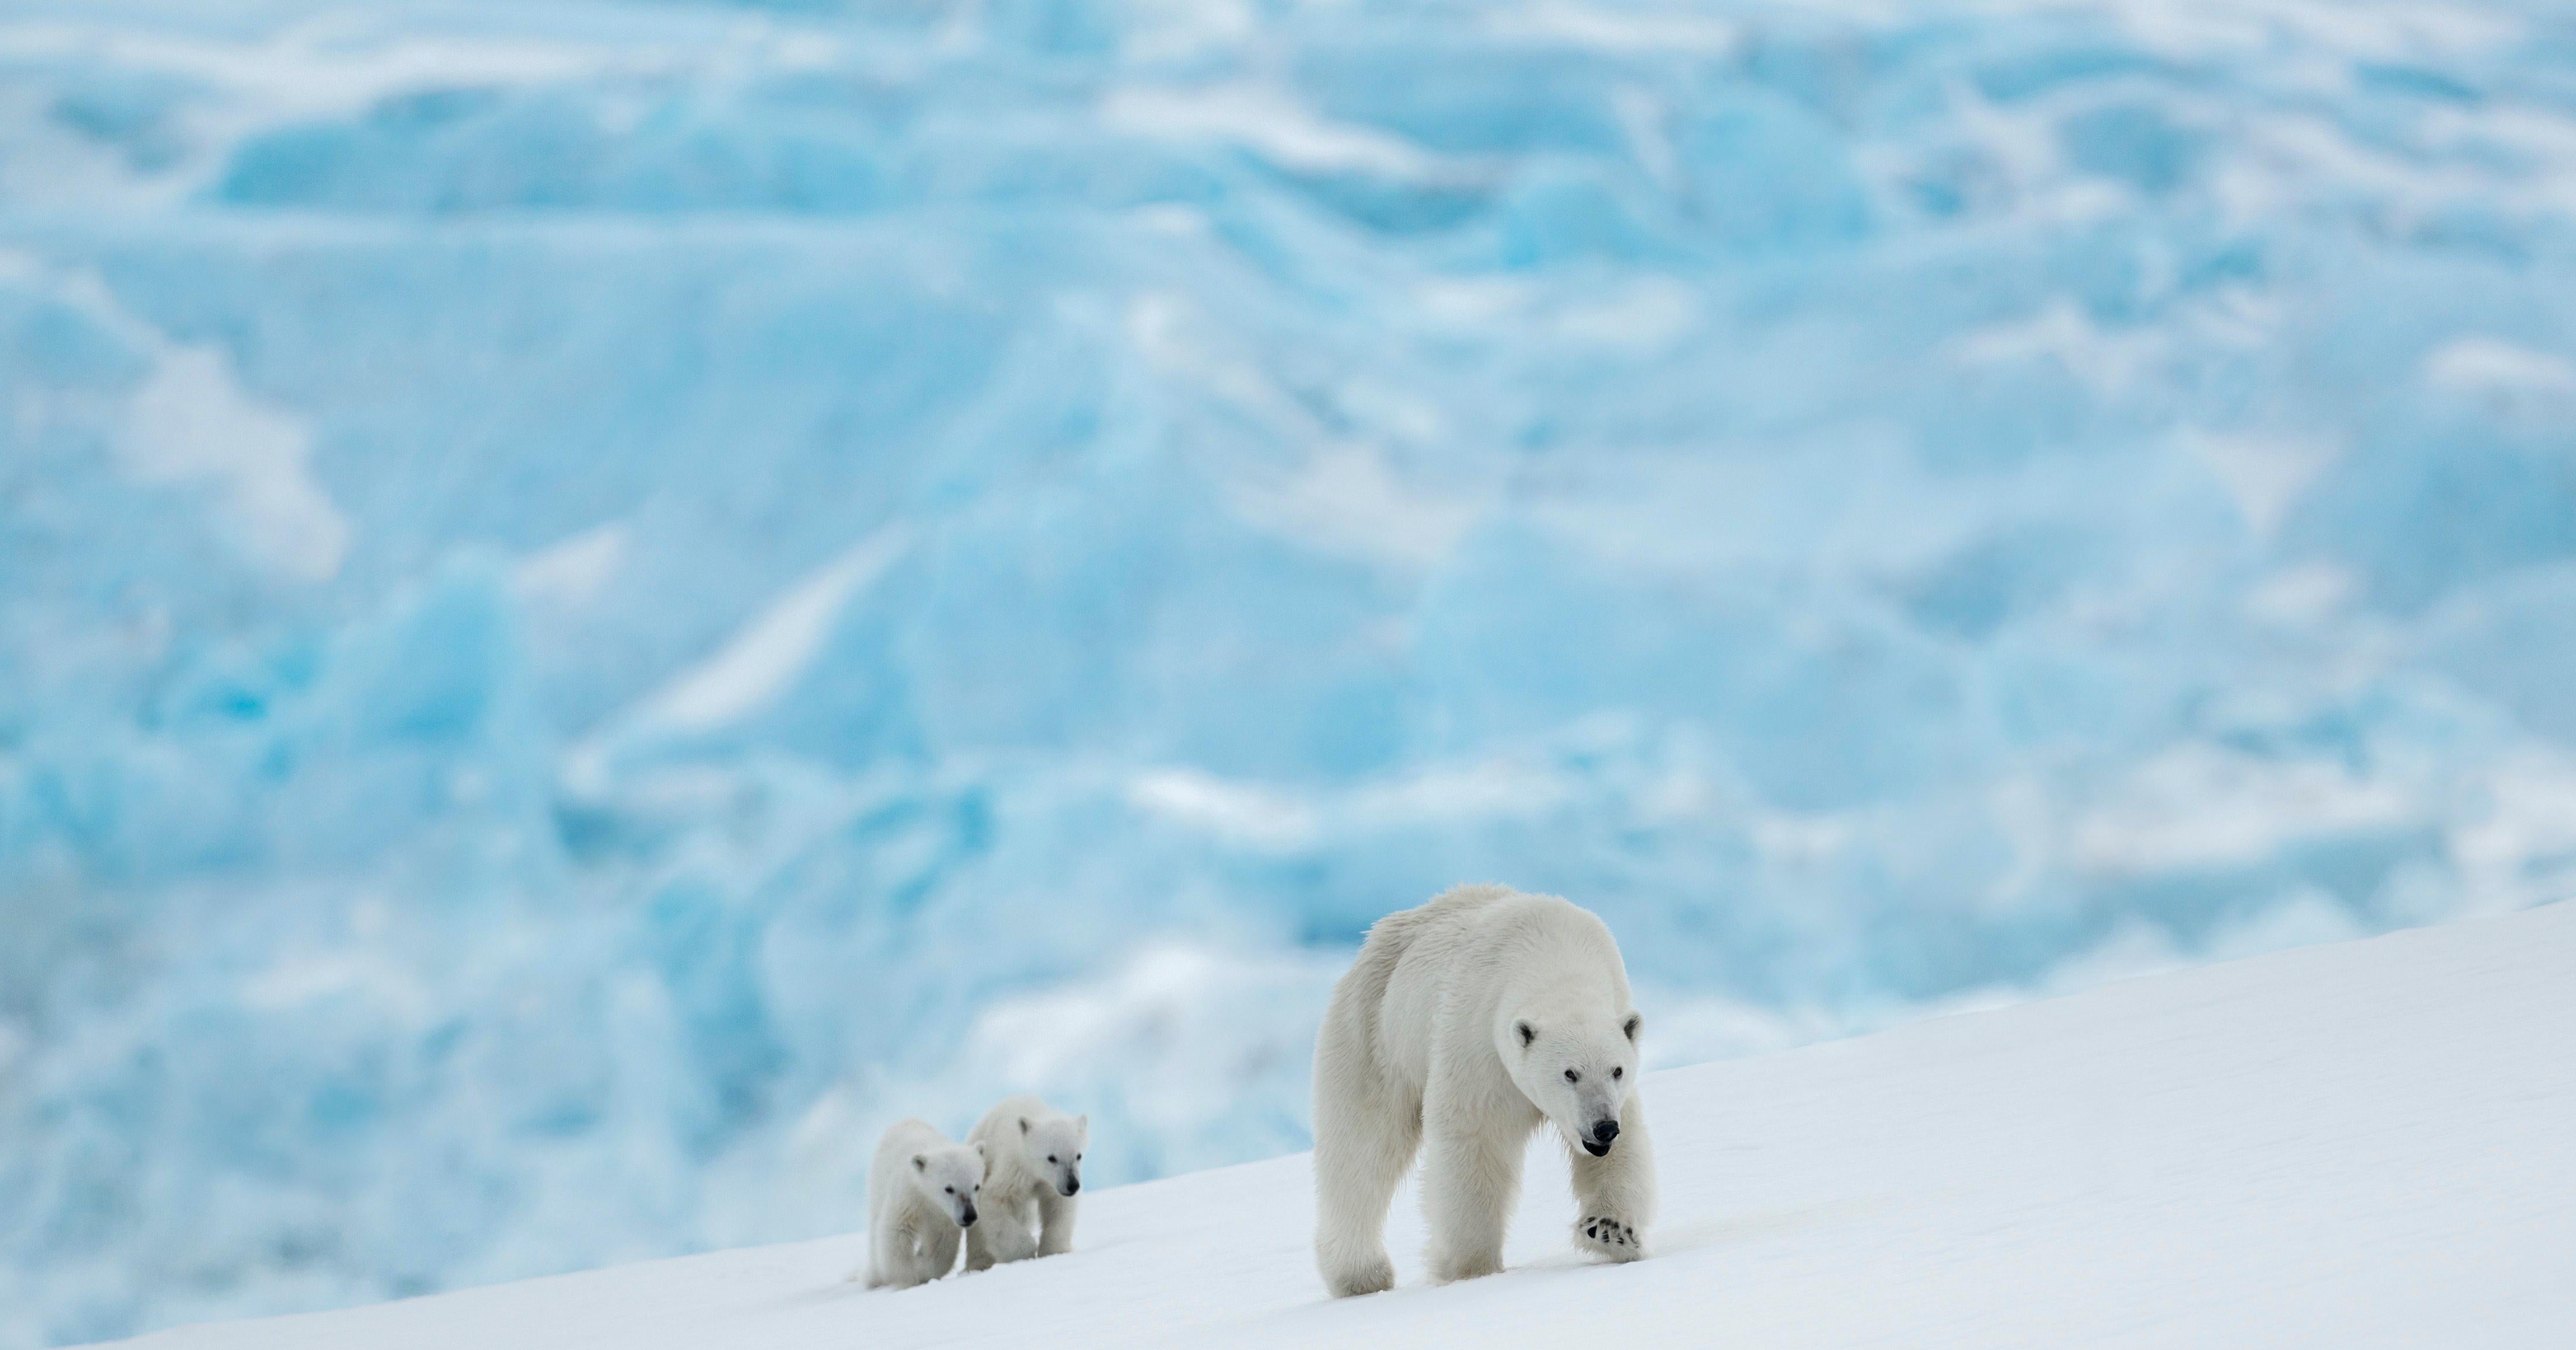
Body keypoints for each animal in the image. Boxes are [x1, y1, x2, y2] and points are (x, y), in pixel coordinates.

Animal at [1308, 886, 1649, 1298]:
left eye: (1617, 1070)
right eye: (1570, 1073)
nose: (1602, 1129)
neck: (1554, 955)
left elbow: (1627, 1145)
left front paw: (1611, 1231)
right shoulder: (1479, 1039)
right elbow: (1475, 1140)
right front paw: (1473, 1269)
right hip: (1376, 1035)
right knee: (1363, 1148)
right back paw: (1361, 1275)